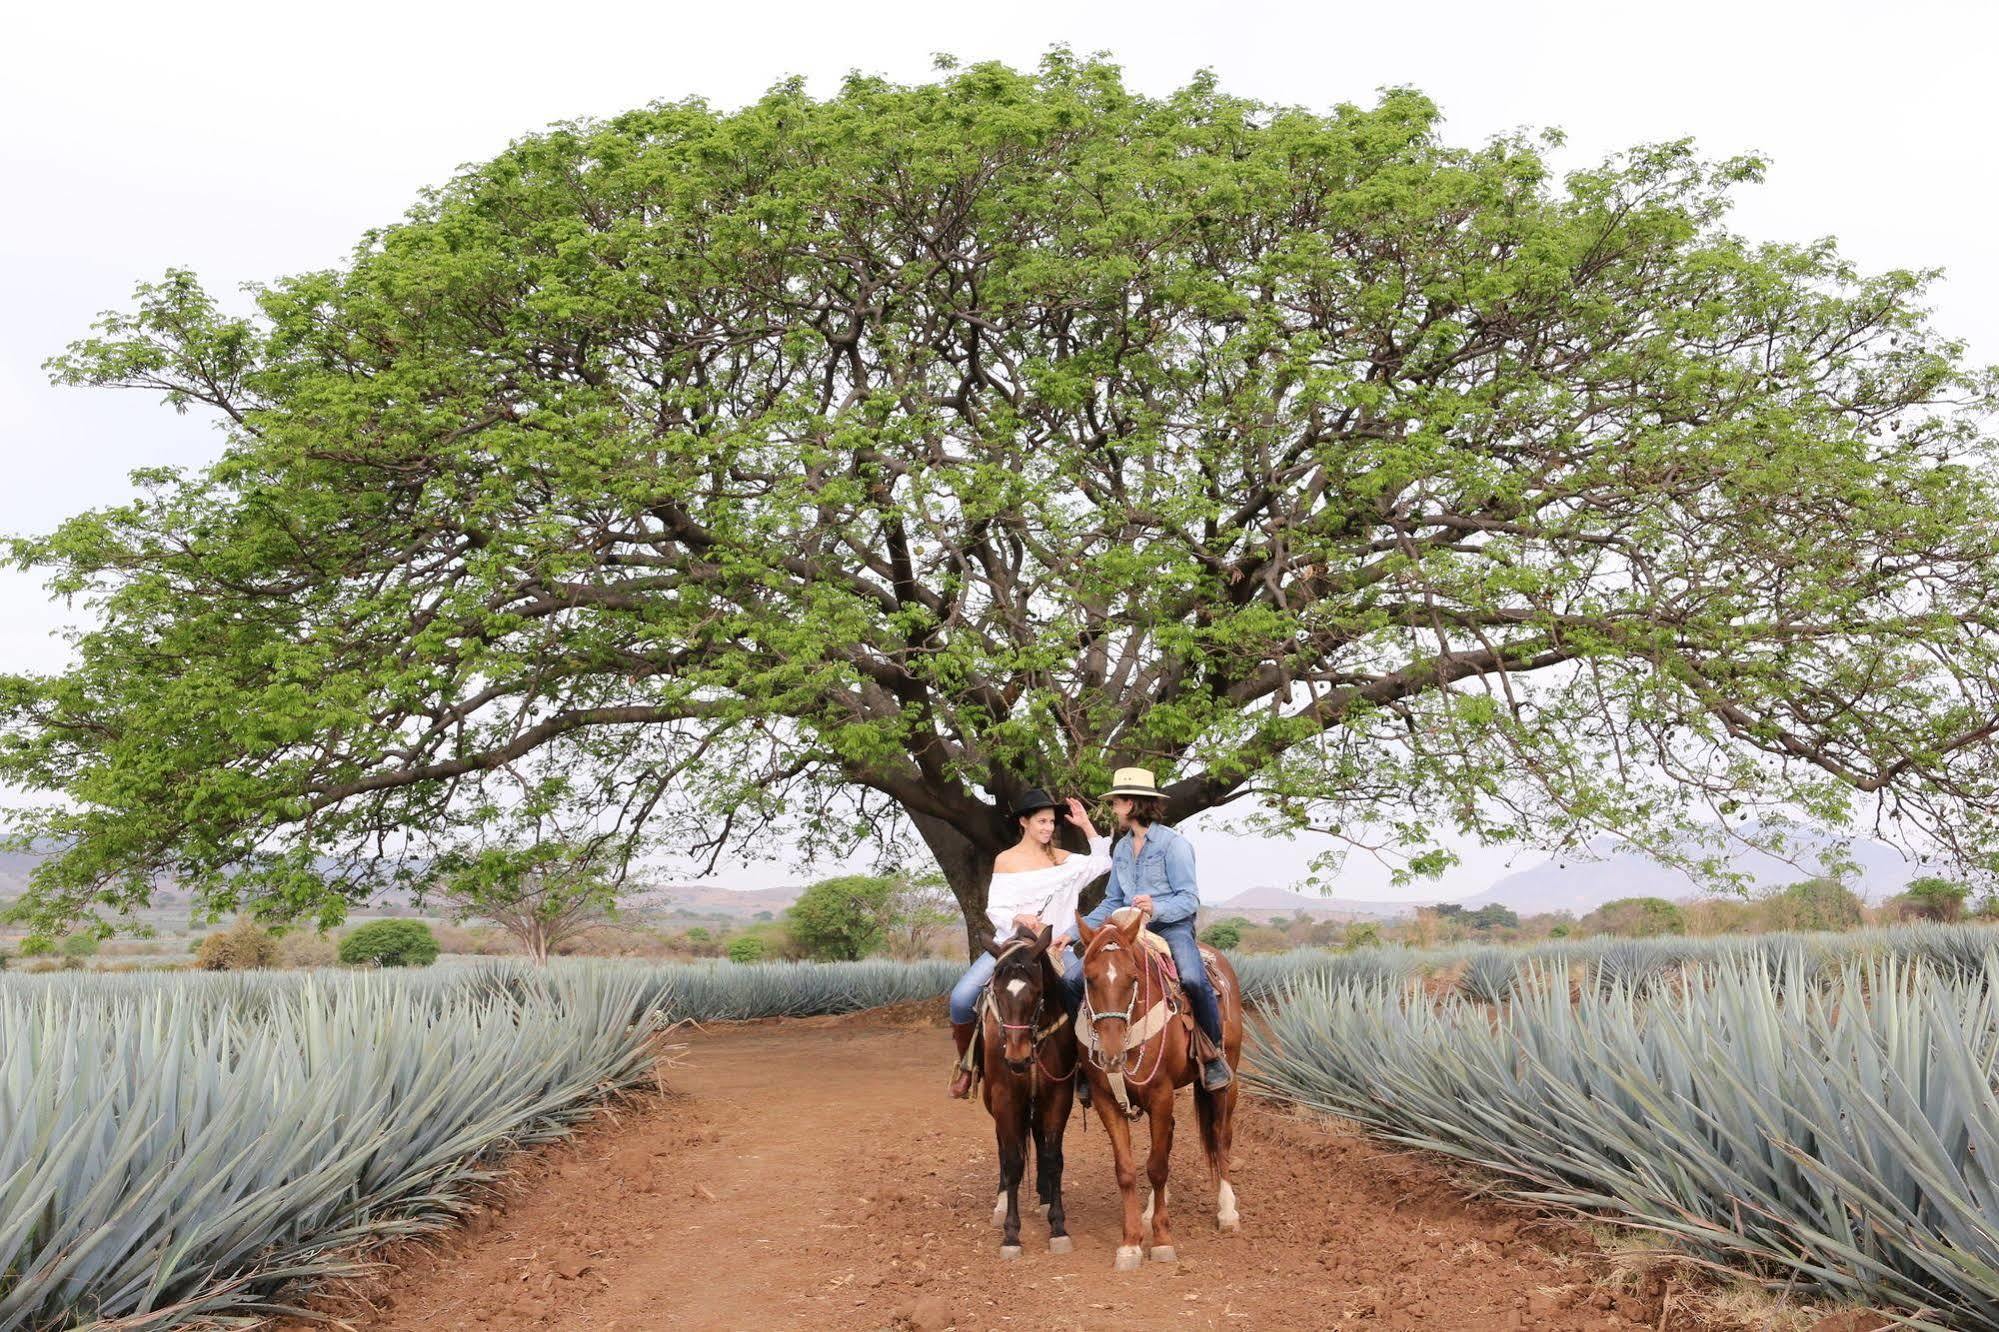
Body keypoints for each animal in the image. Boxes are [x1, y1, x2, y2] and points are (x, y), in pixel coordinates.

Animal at [971, 924, 1079, 1256]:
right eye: (997, 992)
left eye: (1038, 992)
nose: (1016, 1059)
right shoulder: (1005, 1099)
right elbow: (1013, 1160)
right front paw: (1011, 1233)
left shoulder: (1058, 1096)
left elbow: (1053, 1157)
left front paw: (1058, 1227)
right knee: (1004, 1147)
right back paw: (1001, 1201)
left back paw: (1044, 1198)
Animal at [1071, 904, 1239, 1264]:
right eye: (1088, 978)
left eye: (1132, 978)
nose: (1110, 1055)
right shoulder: (1107, 1100)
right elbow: (1127, 1169)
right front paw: (1131, 1242)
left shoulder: (1161, 1094)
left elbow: (1158, 1167)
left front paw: (1162, 1240)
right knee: (1171, 1137)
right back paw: (1151, 1211)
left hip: (1226, 1083)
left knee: (1221, 1138)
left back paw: (1227, 1212)